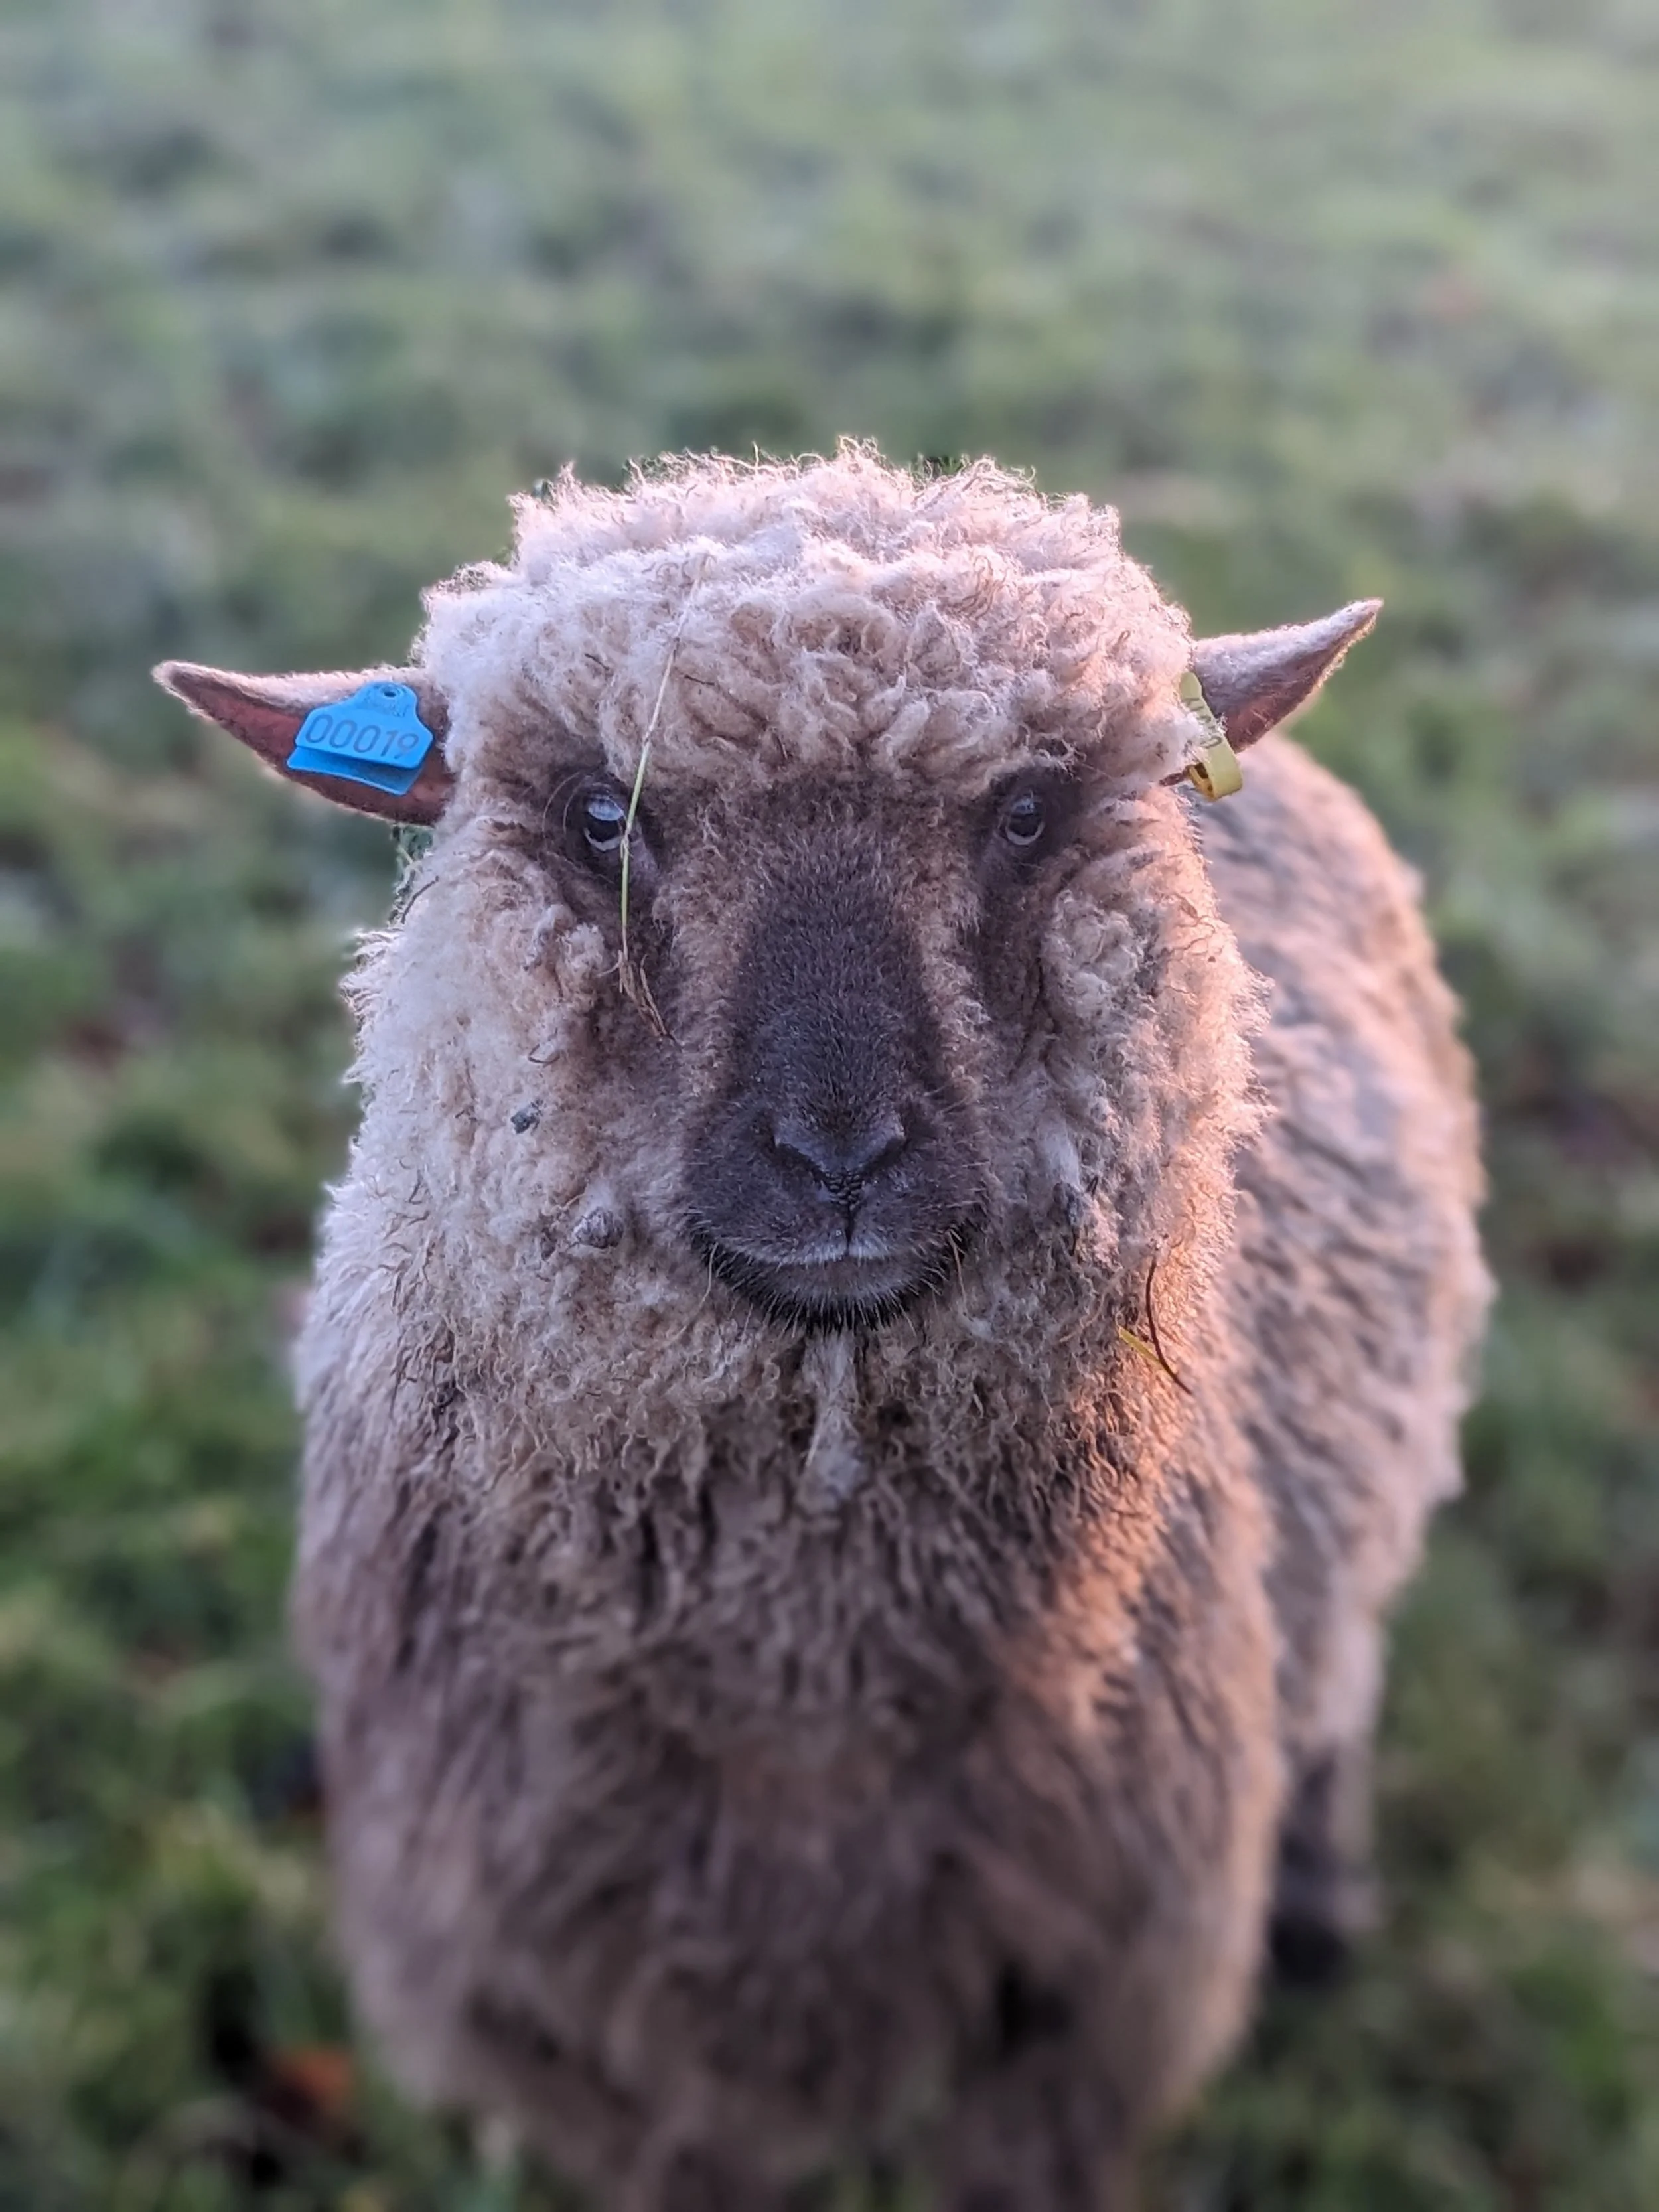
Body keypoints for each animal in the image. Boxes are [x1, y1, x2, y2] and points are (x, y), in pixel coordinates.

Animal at [156, 446, 1489, 2212]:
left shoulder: (1076, 2030)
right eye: (602, 816)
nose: (840, 1156)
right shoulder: (572, 2037)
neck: (805, 1711)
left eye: (1025, 810)